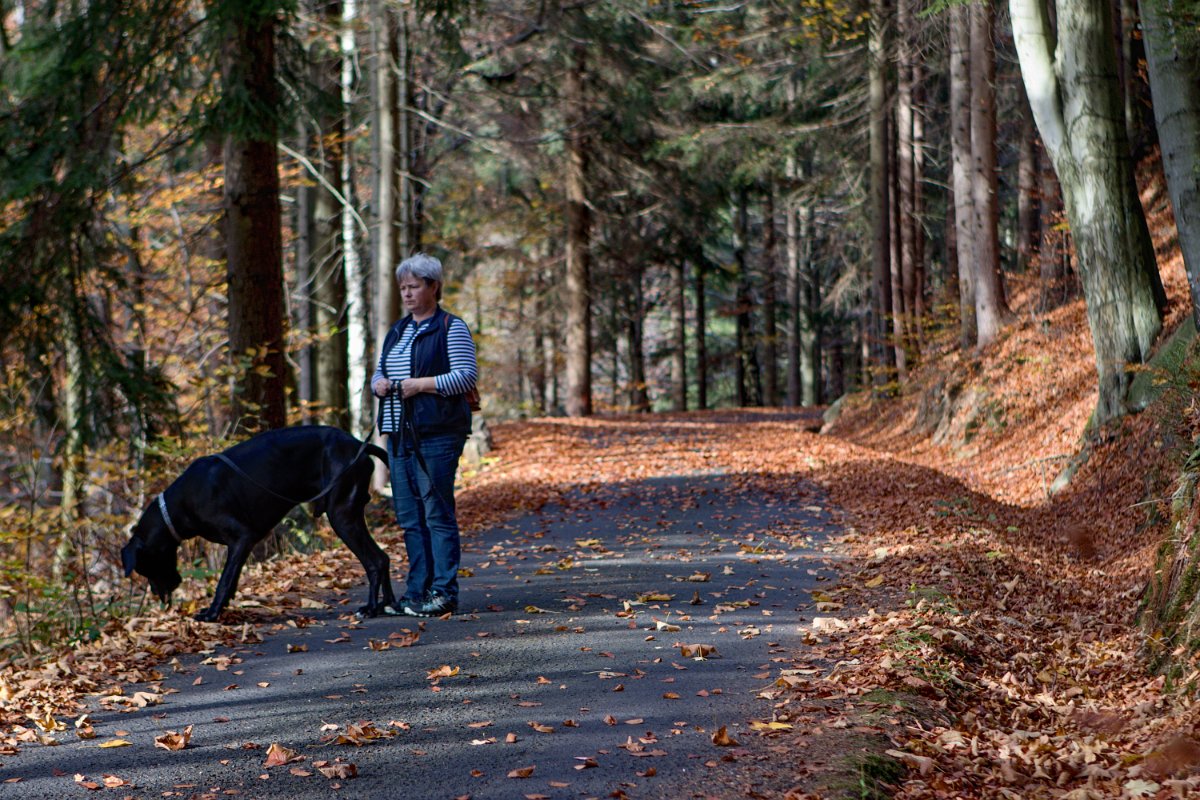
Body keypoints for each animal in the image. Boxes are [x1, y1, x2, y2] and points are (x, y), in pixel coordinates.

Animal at [126, 429, 398, 623]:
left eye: (144, 567)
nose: (158, 595)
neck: (178, 504)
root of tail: (359, 444)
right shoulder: (241, 545)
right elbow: (232, 580)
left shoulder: (242, 538)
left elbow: (224, 581)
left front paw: (212, 614)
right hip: (349, 515)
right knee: (383, 558)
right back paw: (388, 605)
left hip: (341, 515)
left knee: (374, 560)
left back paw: (371, 608)